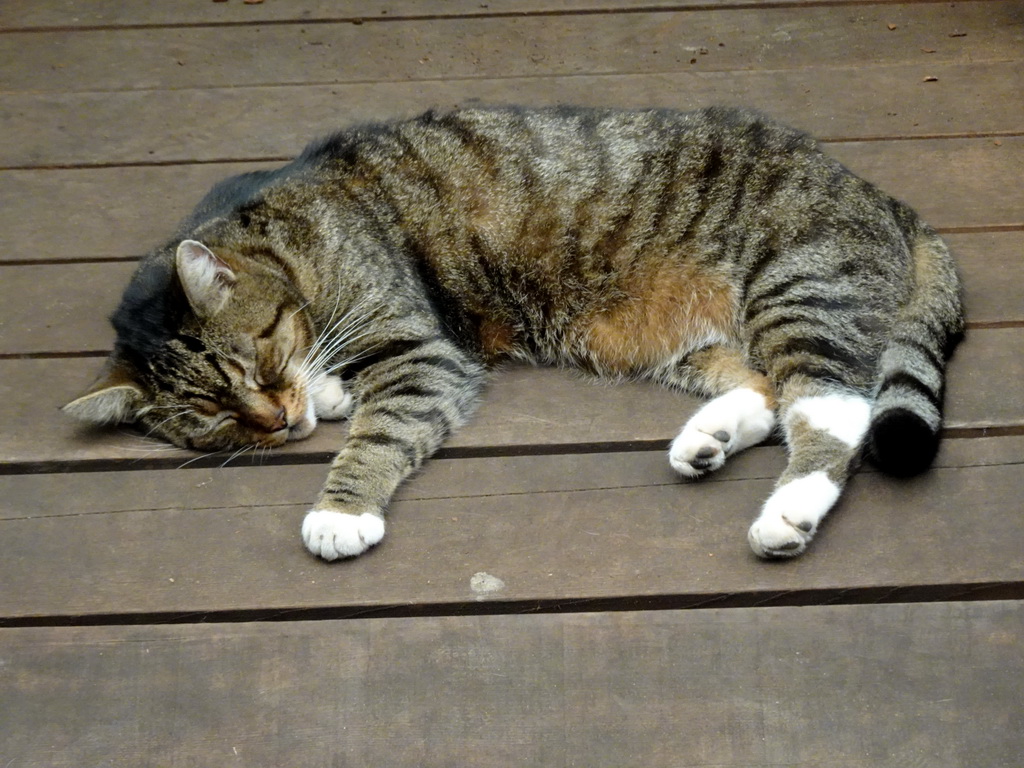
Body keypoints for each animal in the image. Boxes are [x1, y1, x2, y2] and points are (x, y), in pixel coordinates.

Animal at [61, 107, 958, 561]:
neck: (287, 244)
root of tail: (883, 197)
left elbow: (376, 435)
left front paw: (341, 507)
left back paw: (789, 512)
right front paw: (326, 398)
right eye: (215, 419)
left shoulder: (420, 354)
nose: (275, 422)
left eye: (257, 362)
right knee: (769, 394)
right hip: (697, 339)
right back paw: (708, 439)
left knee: (835, 410)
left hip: (795, 292)